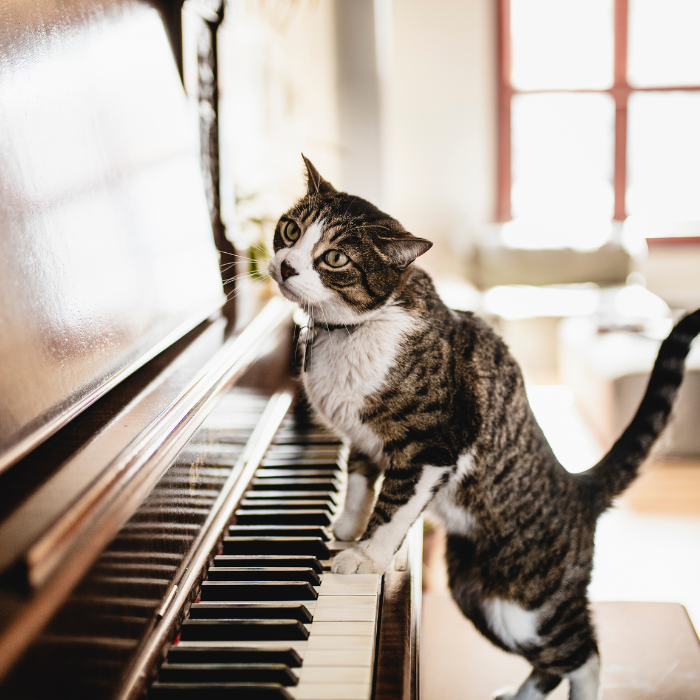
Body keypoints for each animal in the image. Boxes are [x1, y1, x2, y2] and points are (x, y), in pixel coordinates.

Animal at [266, 156, 700, 700]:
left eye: (336, 258)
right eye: (291, 230)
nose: (286, 265)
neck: (349, 332)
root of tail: (580, 489)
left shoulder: (432, 447)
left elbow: (393, 504)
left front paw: (366, 555)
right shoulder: (363, 440)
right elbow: (361, 482)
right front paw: (346, 527)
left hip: (528, 604)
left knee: (585, 653)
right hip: (476, 593)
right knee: (551, 661)